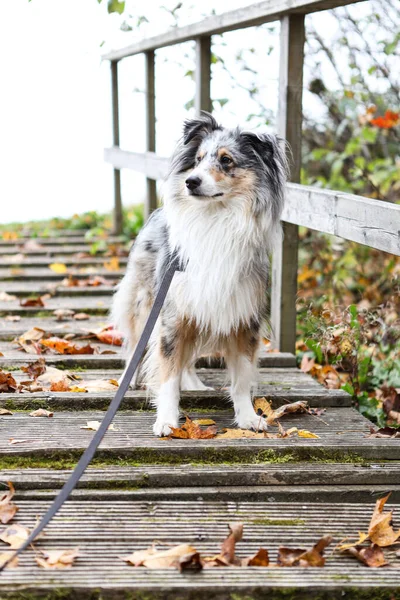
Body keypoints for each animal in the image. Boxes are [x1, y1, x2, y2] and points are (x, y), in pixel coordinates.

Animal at [111, 111, 288, 436]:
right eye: (198, 159)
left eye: (226, 160)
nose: (190, 181)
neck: (217, 219)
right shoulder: (172, 313)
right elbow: (167, 374)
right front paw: (167, 420)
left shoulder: (244, 315)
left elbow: (241, 376)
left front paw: (247, 417)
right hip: (146, 302)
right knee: (138, 345)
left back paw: (193, 382)